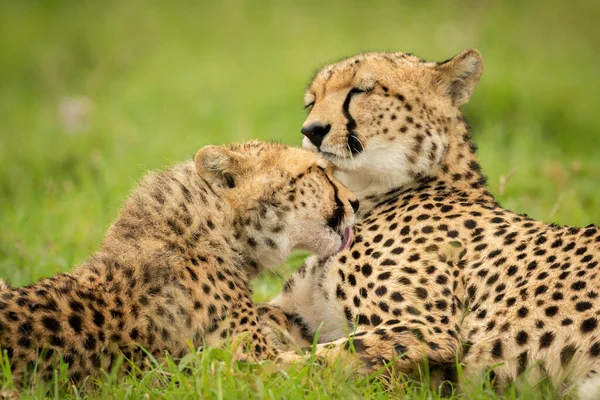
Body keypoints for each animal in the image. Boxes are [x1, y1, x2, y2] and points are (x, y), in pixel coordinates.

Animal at [268, 50, 600, 396]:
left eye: (360, 90)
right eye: (311, 101)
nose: (312, 130)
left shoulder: (427, 332)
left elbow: (303, 360)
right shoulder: (302, 316)